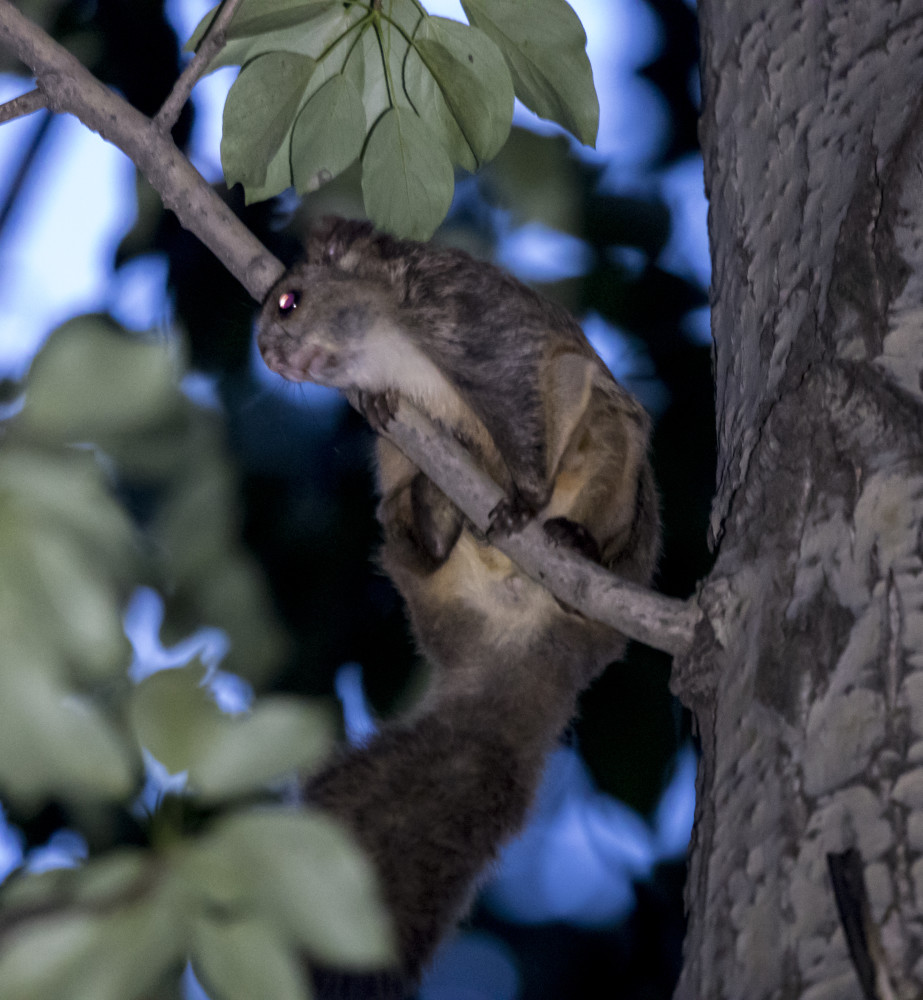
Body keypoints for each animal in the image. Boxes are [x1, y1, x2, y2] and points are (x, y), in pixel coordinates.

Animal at [254, 217, 656, 992]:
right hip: (411, 553)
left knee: (595, 428)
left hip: (615, 460)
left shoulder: (482, 330)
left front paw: (526, 495)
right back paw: (433, 516)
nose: (264, 353)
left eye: (289, 301)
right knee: (410, 531)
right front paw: (382, 407)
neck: (392, 342)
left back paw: (576, 545)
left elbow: (533, 405)